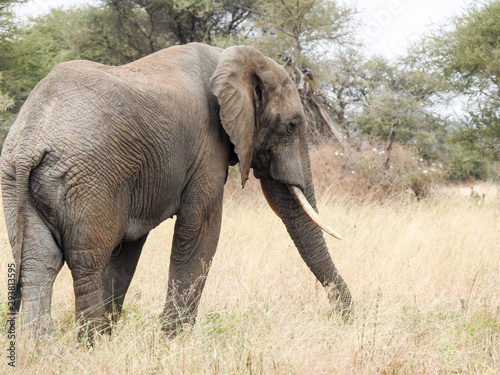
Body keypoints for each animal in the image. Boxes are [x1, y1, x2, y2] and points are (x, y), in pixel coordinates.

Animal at [0, 41, 352, 340]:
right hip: (89, 178)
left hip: (17, 181)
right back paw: (88, 346)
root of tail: (30, 140)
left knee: (38, 265)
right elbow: (200, 231)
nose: (343, 317)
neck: (231, 57)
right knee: (87, 262)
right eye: (292, 125)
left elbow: (128, 249)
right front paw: (173, 342)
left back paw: (43, 347)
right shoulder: (207, 145)